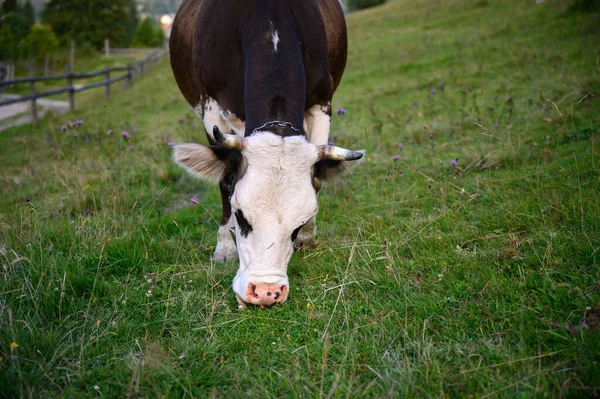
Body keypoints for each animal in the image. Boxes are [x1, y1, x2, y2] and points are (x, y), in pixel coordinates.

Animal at [171, 0, 364, 310]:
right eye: (241, 216)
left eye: (298, 225)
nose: (265, 292)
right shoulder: (211, 106)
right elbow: (225, 181)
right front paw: (224, 246)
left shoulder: (323, 102)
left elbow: (317, 180)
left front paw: (308, 236)